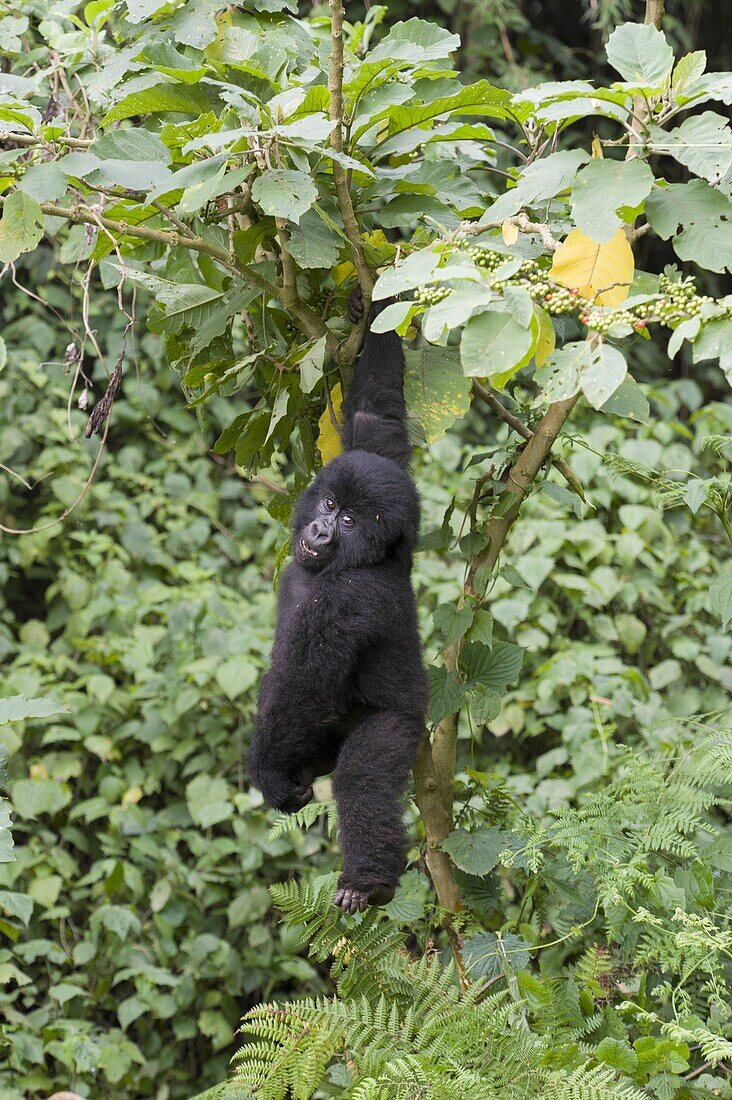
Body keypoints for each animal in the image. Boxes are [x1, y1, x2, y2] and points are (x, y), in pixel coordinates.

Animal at [248, 290, 424, 910]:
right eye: (328, 504)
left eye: (348, 521)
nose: (321, 532)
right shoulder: (382, 463)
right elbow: (376, 415)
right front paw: (380, 301)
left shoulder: (347, 600)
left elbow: (304, 684)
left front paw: (269, 776)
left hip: (399, 725)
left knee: (363, 777)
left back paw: (367, 881)